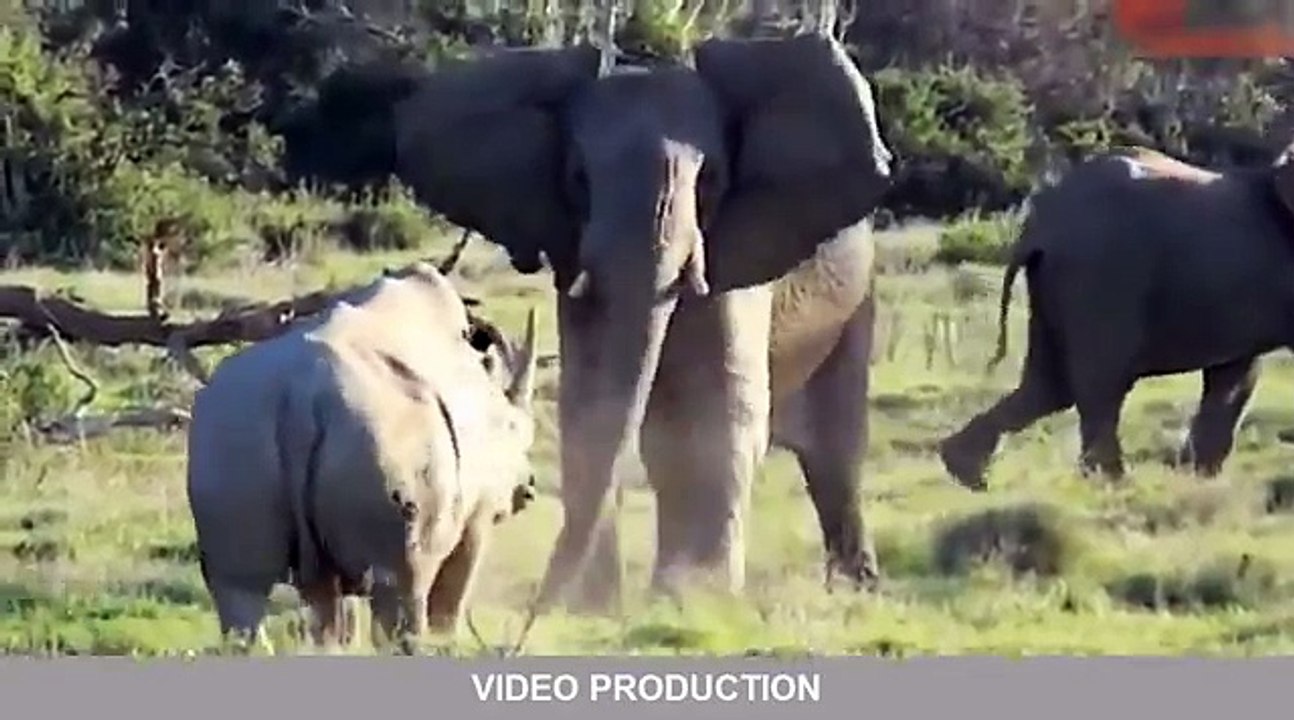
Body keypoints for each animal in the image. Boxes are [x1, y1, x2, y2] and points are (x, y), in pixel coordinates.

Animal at [186, 261, 540, 651]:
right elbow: (452, 597)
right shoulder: (478, 515)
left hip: (234, 426)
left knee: (240, 589)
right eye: (523, 437)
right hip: (386, 437)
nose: (528, 490)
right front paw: (448, 641)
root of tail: (302, 391)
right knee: (401, 586)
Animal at [276, 33, 895, 613]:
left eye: (713, 179)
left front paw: (696, 599)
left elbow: (719, 405)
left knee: (835, 446)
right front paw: (594, 607)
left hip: (856, 297)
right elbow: (590, 400)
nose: (538, 608)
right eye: (577, 177)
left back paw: (853, 587)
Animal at [940, 145, 1294, 491]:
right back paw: (1112, 481)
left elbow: (1234, 377)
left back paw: (967, 473)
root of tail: (1040, 224)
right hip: (1103, 275)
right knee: (1101, 382)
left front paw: (1197, 477)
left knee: (1050, 386)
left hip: (1059, 282)